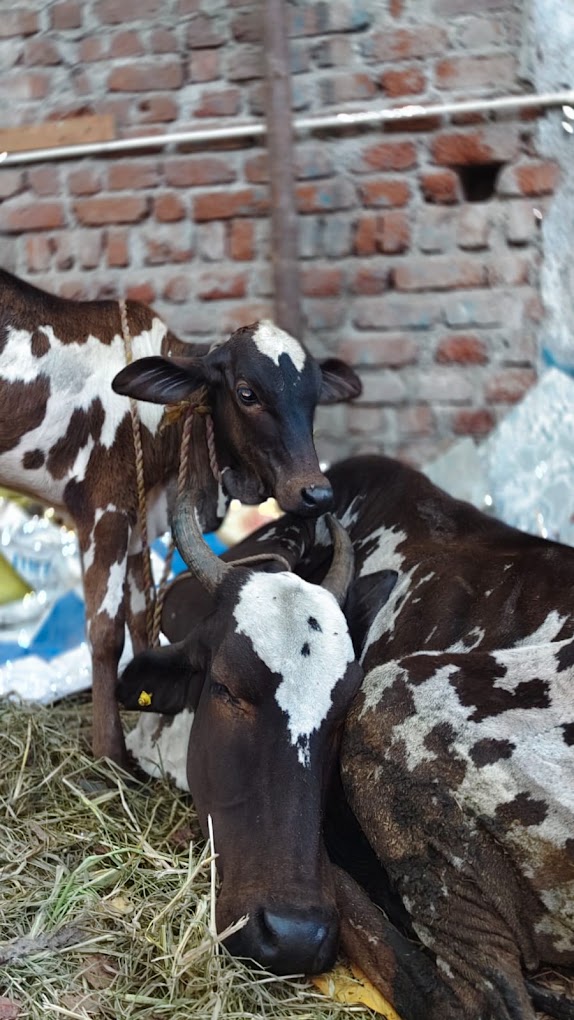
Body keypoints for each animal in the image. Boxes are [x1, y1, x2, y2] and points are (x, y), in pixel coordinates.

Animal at [0, 268, 361, 764]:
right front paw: (111, 755)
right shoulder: (103, 511)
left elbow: (141, 619)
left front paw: (149, 733)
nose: (316, 492)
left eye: (314, 399)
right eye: (247, 393)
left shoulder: (138, 516)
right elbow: (106, 634)